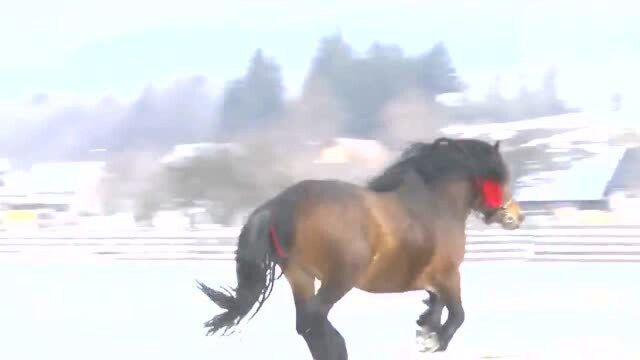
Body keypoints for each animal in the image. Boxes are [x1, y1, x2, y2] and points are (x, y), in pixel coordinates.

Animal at [196, 136, 524, 358]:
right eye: (501, 178)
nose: (516, 216)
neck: (435, 204)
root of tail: (280, 204)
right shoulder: (448, 274)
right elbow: (457, 314)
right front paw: (431, 341)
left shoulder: (430, 278)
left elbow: (436, 304)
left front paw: (425, 325)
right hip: (340, 277)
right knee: (313, 319)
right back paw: (340, 348)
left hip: (301, 276)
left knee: (307, 323)